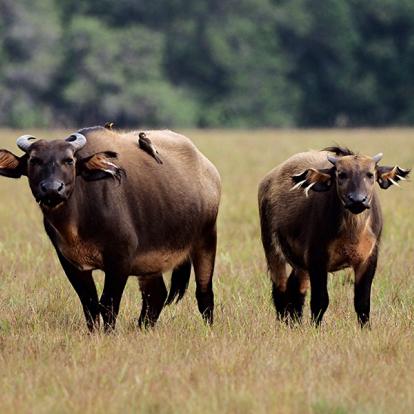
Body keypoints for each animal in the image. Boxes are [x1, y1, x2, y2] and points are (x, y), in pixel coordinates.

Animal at [0, 126, 222, 330]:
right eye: (33, 160)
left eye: (69, 160)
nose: (53, 189)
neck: (76, 225)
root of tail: (209, 170)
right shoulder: (70, 263)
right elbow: (90, 304)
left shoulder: (120, 261)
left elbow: (108, 304)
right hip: (151, 262)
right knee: (156, 295)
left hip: (206, 239)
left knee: (204, 292)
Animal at [260, 146, 410, 326]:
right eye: (341, 174)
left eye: (370, 174)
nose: (357, 200)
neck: (352, 234)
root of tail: (267, 181)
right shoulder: (317, 259)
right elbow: (320, 301)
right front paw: (315, 328)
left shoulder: (368, 259)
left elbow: (362, 303)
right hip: (272, 248)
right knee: (280, 288)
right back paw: (284, 322)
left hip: (300, 264)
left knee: (296, 288)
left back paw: (295, 323)